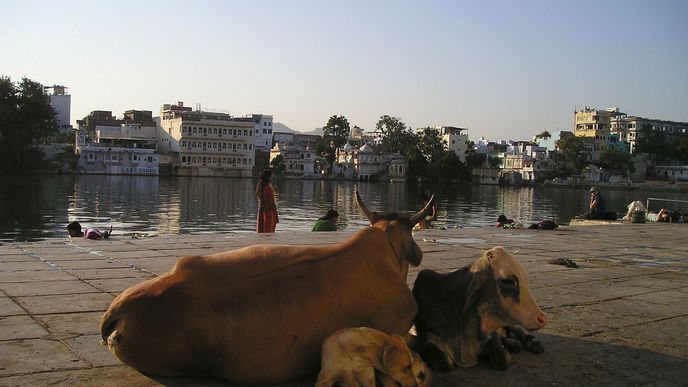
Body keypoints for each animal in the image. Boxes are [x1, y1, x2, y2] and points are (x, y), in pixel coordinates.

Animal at [408, 247, 548, 372]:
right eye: (508, 281)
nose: (542, 319)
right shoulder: (426, 337)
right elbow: (444, 363)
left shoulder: (491, 334)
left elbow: (503, 359)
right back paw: (513, 343)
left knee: (520, 330)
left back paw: (532, 343)